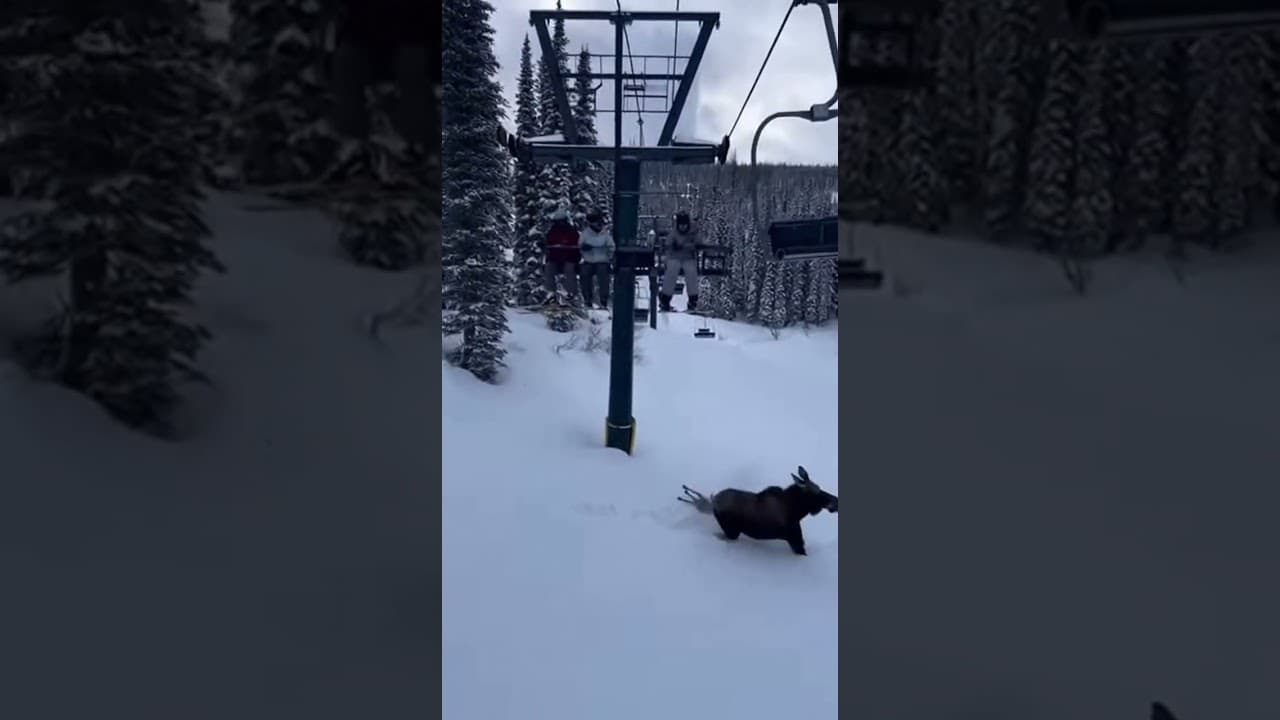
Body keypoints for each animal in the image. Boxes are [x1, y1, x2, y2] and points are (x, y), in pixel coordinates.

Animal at [677, 465, 837, 556]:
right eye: (816, 492)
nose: (835, 501)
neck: (797, 510)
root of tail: (716, 500)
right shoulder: (795, 539)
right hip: (732, 530)